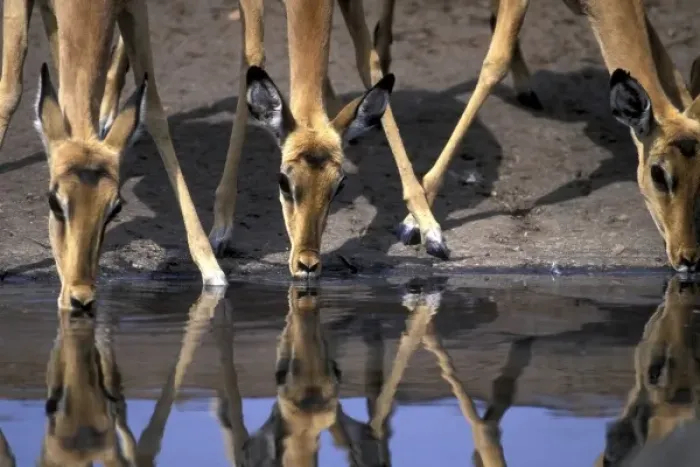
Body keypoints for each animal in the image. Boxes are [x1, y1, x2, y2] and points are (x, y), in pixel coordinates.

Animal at [2, 0, 228, 312]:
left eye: (116, 208)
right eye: (53, 202)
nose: (80, 297)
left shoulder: (135, 9)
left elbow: (154, 110)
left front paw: (211, 267)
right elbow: (10, 93)